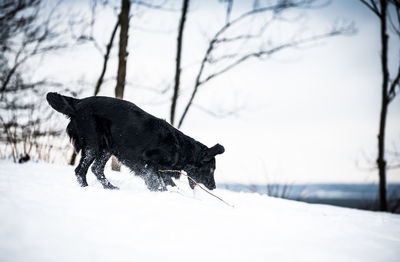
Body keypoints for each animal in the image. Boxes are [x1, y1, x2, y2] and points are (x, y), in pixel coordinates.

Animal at [47, 93, 225, 191]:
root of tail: (78, 103)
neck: (180, 149)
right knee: (80, 170)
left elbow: (168, 184)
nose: (214, 187)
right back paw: (86, 188)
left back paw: (111, 188)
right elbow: (159, 185)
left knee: (96, 169)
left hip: (107, 148)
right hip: (93, 145)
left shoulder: (161, 170)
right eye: (211, 170)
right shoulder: (150, 166)